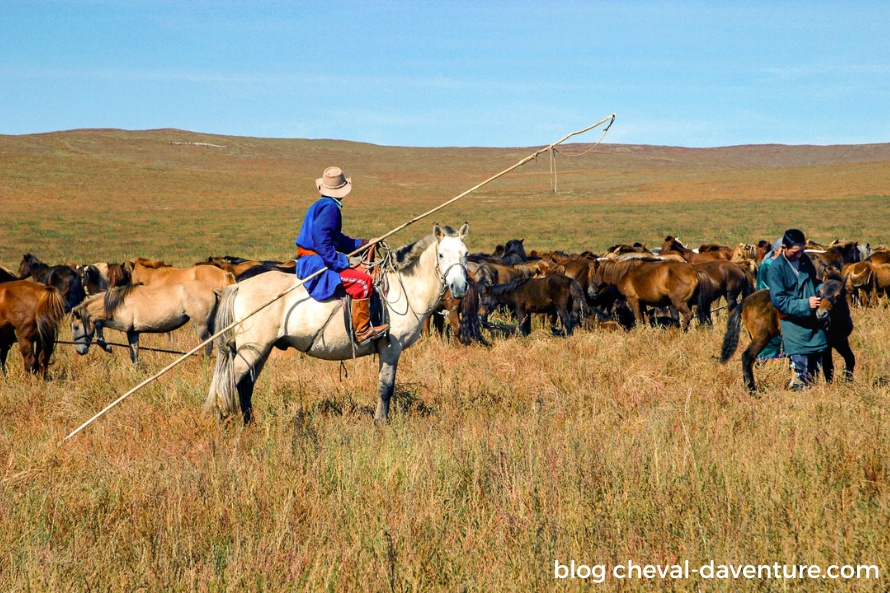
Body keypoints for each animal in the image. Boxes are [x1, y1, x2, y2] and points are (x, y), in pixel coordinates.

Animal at [70, 280, 220, 364]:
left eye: (76, 327)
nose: (80, 351)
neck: (120, 303)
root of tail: (212, 289)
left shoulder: (123, 325)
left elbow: (99, 323)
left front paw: (107, 347)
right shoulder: (132, 333)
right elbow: (134, 354)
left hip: (201, 325)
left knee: (208, 343)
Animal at [205, 224, 468, 424]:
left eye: (465, 254)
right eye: (442, 255)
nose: (459, 287)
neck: (403, 288)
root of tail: (238, 286)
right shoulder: (391, 348)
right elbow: (386, 387)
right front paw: (380, 422)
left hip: (261, 349)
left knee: (244, 385)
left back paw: (249, 423)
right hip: (252, 349)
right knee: (228, 381)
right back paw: (220, 420)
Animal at [716, 272, 852, 394]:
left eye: (838, 295)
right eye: (820, 293)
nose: (821, 314)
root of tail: (744, 302)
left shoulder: (840, 341)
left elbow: (849, 358)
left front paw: (848, 381)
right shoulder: (827, 346)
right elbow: (829, 367)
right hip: (762, 337)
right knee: (747, 356)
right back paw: (751, 390)